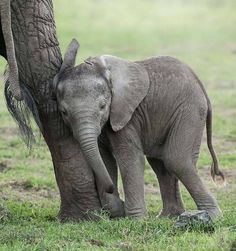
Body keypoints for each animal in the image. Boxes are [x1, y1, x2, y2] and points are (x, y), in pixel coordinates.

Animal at [52, 38, 224, 222]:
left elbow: (129, 158)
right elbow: (105, 159)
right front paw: (117, 211)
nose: (111, 189)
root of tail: (201, 86)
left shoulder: (127, 115)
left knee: (177, 160)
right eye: (64, 112)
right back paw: (168, 216)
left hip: (190, 110)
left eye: (103, 106)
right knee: (160, 163)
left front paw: (136, 220)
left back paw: (212, 215)